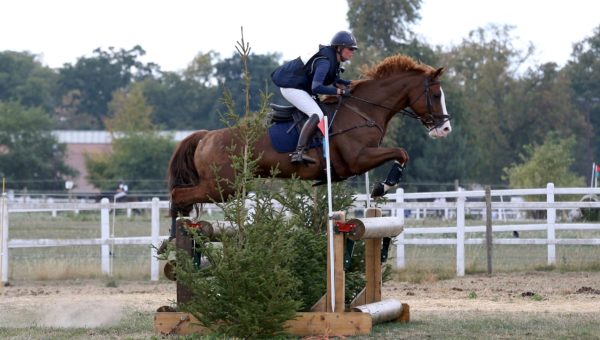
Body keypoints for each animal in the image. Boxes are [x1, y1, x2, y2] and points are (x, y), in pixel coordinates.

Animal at [166, 54, 452, 220]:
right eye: (436, 95)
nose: (445, 129)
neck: (363, 109)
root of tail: (205, 137)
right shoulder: (358, 159)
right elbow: (401, 152)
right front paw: (383, 186)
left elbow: (401, 153)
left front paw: (381, 187)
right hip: (223, 186)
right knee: (178, 195)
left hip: (228, 186)